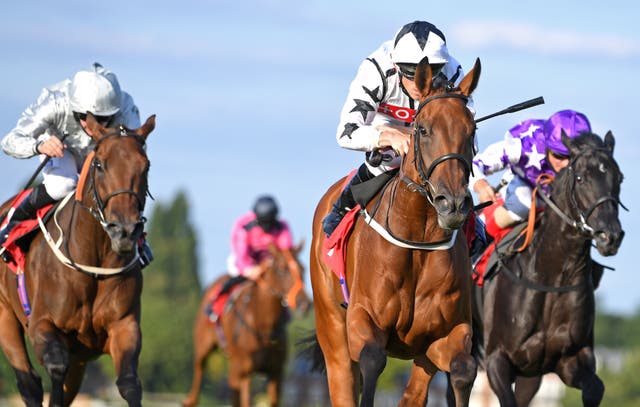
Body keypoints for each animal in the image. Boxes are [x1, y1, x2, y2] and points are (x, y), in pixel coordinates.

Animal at [0, 114, 156, 407]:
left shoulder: (124, 326)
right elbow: (55, 370)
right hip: (5, 315)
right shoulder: (41, 325)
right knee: (29, 383)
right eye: (99, 164)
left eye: (146, 166)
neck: (92, 261)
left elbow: (130, 383)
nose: (125, 230)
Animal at [181, 242, 312, 407]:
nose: (305, 304)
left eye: (303, 269)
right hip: (204, 347)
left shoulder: (276, 372)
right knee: (199, 370)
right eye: (282, 270)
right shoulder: (243, 370)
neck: (263, 327)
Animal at [308, 58, 480, 407]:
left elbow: (463, 369)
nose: (453, 203)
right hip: (332, 330)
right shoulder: (361, 322)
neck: (417, 240)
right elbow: (373, 360)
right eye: (422, 129)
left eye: (472, 131)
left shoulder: (445, 335)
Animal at [480, 132, 624, 406]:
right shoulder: (495, 359)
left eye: (619, 177)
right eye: (580, 177)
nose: (610, 236)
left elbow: (595, 389)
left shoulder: (569, 360)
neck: (552, 277)